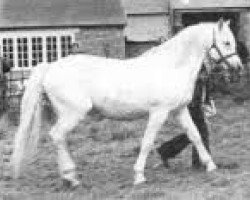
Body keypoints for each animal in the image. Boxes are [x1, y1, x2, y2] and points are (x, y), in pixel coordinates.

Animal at [11, 19, 242, 187]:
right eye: (227, 42)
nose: (238, 67)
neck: (172, 66)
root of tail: (50, 67)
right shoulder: (159, 113)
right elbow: (147, 142)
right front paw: (139, 176)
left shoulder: (179, 110)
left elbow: (195, 135)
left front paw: (210, 165)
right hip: (73, 113)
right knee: (57, 135)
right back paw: (71, 177)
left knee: (60, 138)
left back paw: (69, 177)